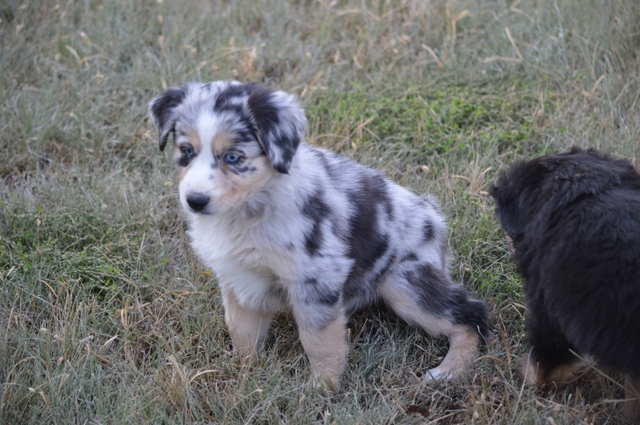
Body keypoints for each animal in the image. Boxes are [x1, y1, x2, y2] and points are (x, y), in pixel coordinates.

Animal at [150, 81, 490, 390]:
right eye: (187, 151)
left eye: (233, 157)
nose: (195, 200)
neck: (250, 207)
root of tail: (434, 216)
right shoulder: (238, 276)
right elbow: (241, 329)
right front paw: (243, 374)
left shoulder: (316, 275)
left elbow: (319, 339)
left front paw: (322, 390)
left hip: (404, 281)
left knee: (470, 314)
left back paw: (449, 370)